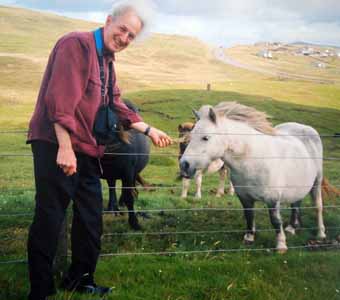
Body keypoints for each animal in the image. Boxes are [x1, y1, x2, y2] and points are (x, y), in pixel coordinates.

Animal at [181, 102, 326, 252]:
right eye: (191, 135)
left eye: (206, 137)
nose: (184, 165)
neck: (253, 160)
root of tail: (304, 127)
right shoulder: (245, 197)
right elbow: (249, 215)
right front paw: (249, 238)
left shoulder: (273, 199)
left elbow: (275, 221)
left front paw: (281, 245)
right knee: (296, 203)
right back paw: (291, 228)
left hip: (317, 181)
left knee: (318, 206)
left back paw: (321, 233)